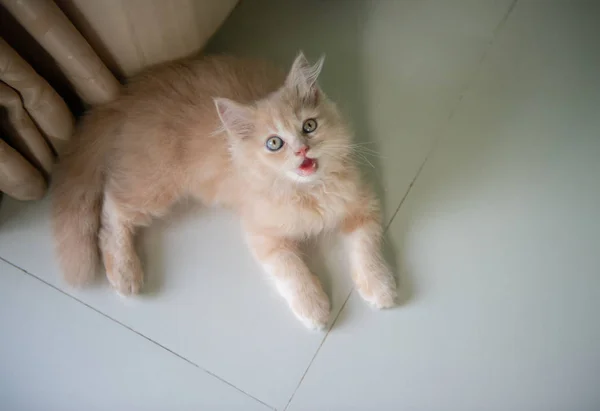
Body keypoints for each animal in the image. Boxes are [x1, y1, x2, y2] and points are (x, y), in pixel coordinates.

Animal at [52, 51, 398, 330]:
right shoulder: (264, 235)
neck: (307, 191)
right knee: (113, 207)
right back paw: (125, 274)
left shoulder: (362, 207)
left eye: (309, 126)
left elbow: (367, 251)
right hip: (156, 183)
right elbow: (292, 271)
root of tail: (126, 95)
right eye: (275, 143)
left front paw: (381, 287)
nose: (302, 150)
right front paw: (313, 309)